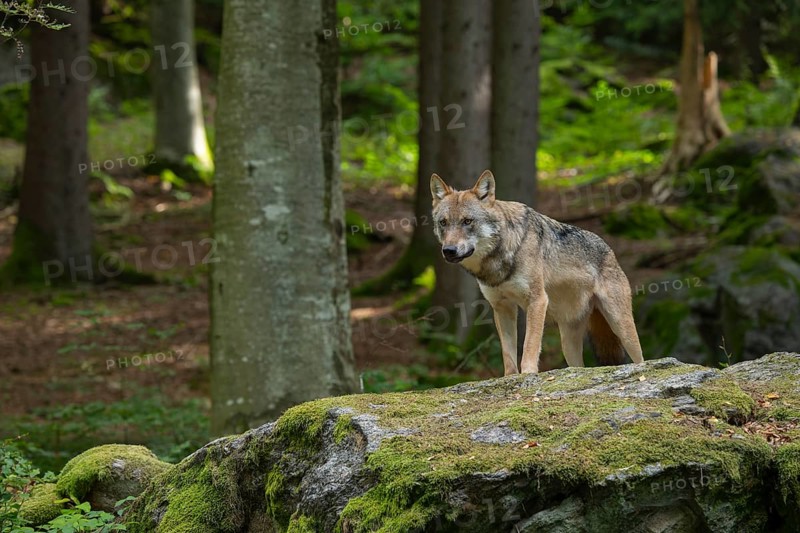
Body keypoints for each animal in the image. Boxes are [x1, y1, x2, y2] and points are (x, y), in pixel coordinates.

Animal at [430, 170, 644, 375]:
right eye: (443, 223)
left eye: (467, 221)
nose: (449, 250)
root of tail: (609, 250)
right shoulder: (502, 307)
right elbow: (508, 354)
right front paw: (510, 377)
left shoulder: (537, 300)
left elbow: (529, 345)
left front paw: (528, 374)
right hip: (568, 344)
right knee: (580, 366)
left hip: (622, 328)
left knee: (640, 358)